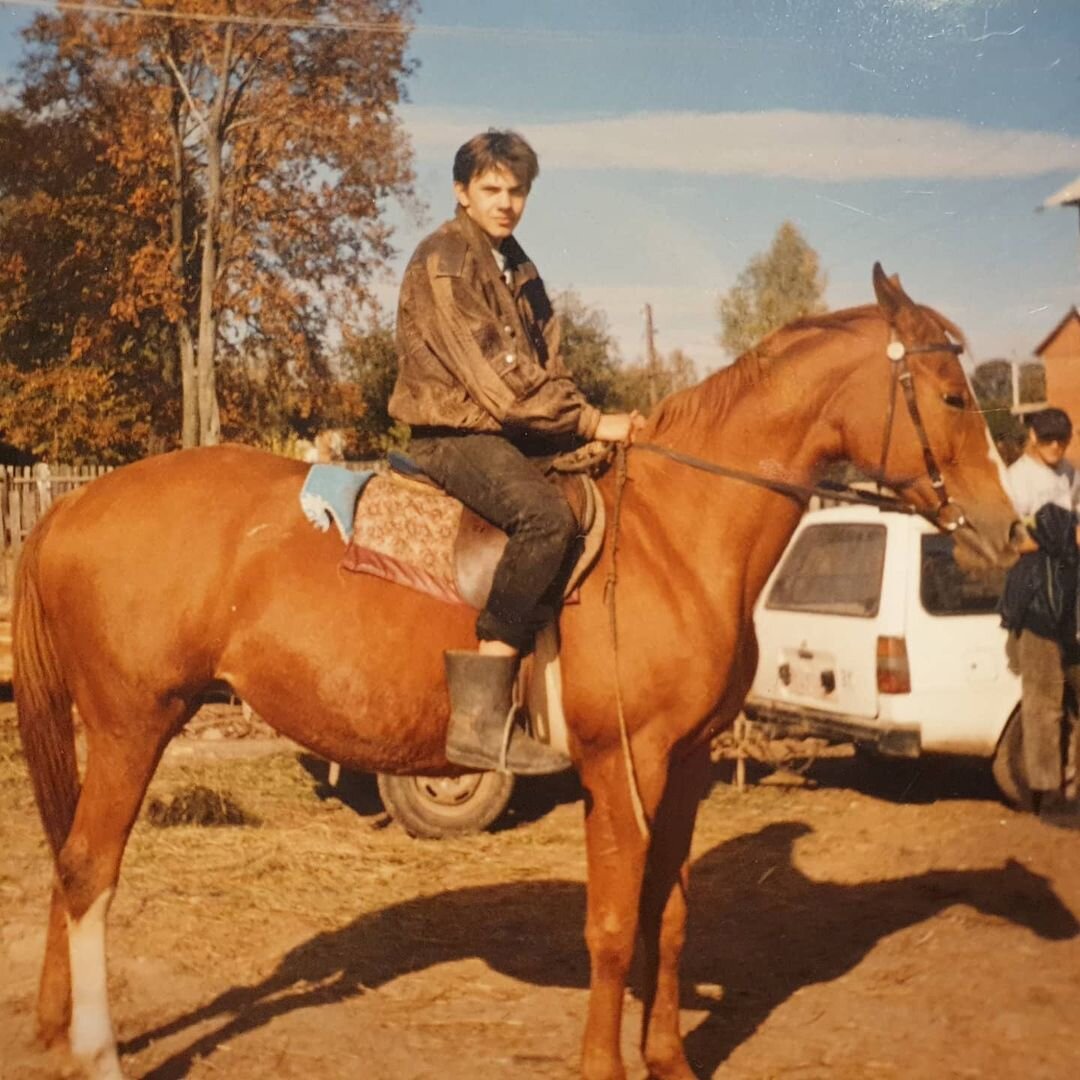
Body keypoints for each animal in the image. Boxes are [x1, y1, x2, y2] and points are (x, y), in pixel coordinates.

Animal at [14, 265, 1019, 1075]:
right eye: (950, 395)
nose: (1007, 528)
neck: (674, 534)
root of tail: (69, 510)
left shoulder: (687, 764)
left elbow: (671, 917)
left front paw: (668, 1060)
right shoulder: (622, 767)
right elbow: (611, 929)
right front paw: (603, 1067)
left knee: (70, 863)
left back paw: (58, 1030)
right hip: (133, 724)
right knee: (88, 871)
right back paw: (98, 1052)